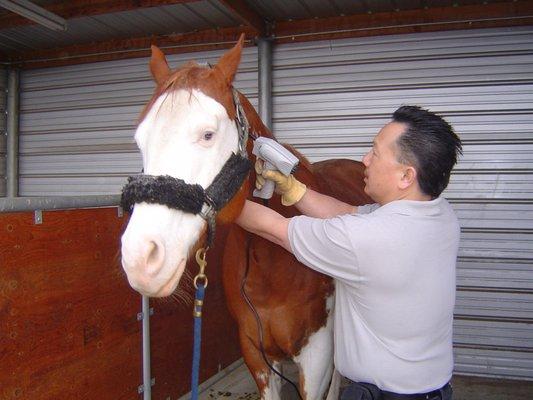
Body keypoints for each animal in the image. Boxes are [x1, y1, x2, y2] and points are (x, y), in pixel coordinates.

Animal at [120, 35, 370, 400]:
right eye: (140, 140)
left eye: (208, 134)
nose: (141, 258)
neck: (272, 264)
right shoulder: (255, 353)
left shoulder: (316, 356)